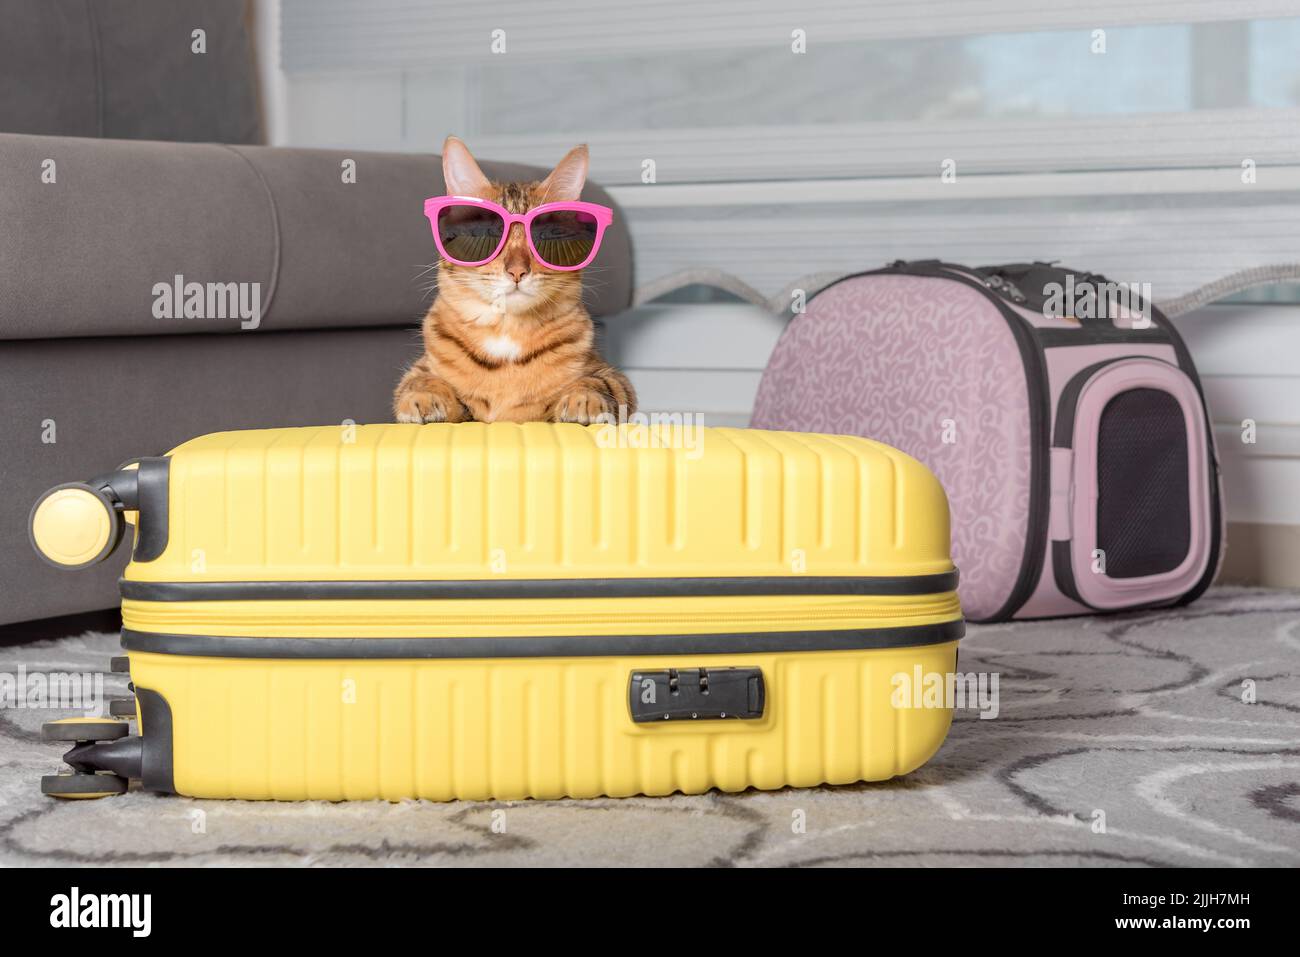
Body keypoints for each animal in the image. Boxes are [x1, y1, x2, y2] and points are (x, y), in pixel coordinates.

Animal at [394, 136, 636, 425]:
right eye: (488, 233)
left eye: (545, 235)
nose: (517, 271)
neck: (506, 333)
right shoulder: (421, 369)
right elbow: (418, 380)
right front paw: (423, 396)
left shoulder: (613, 376)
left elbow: (600, 382)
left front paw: (583, 398)